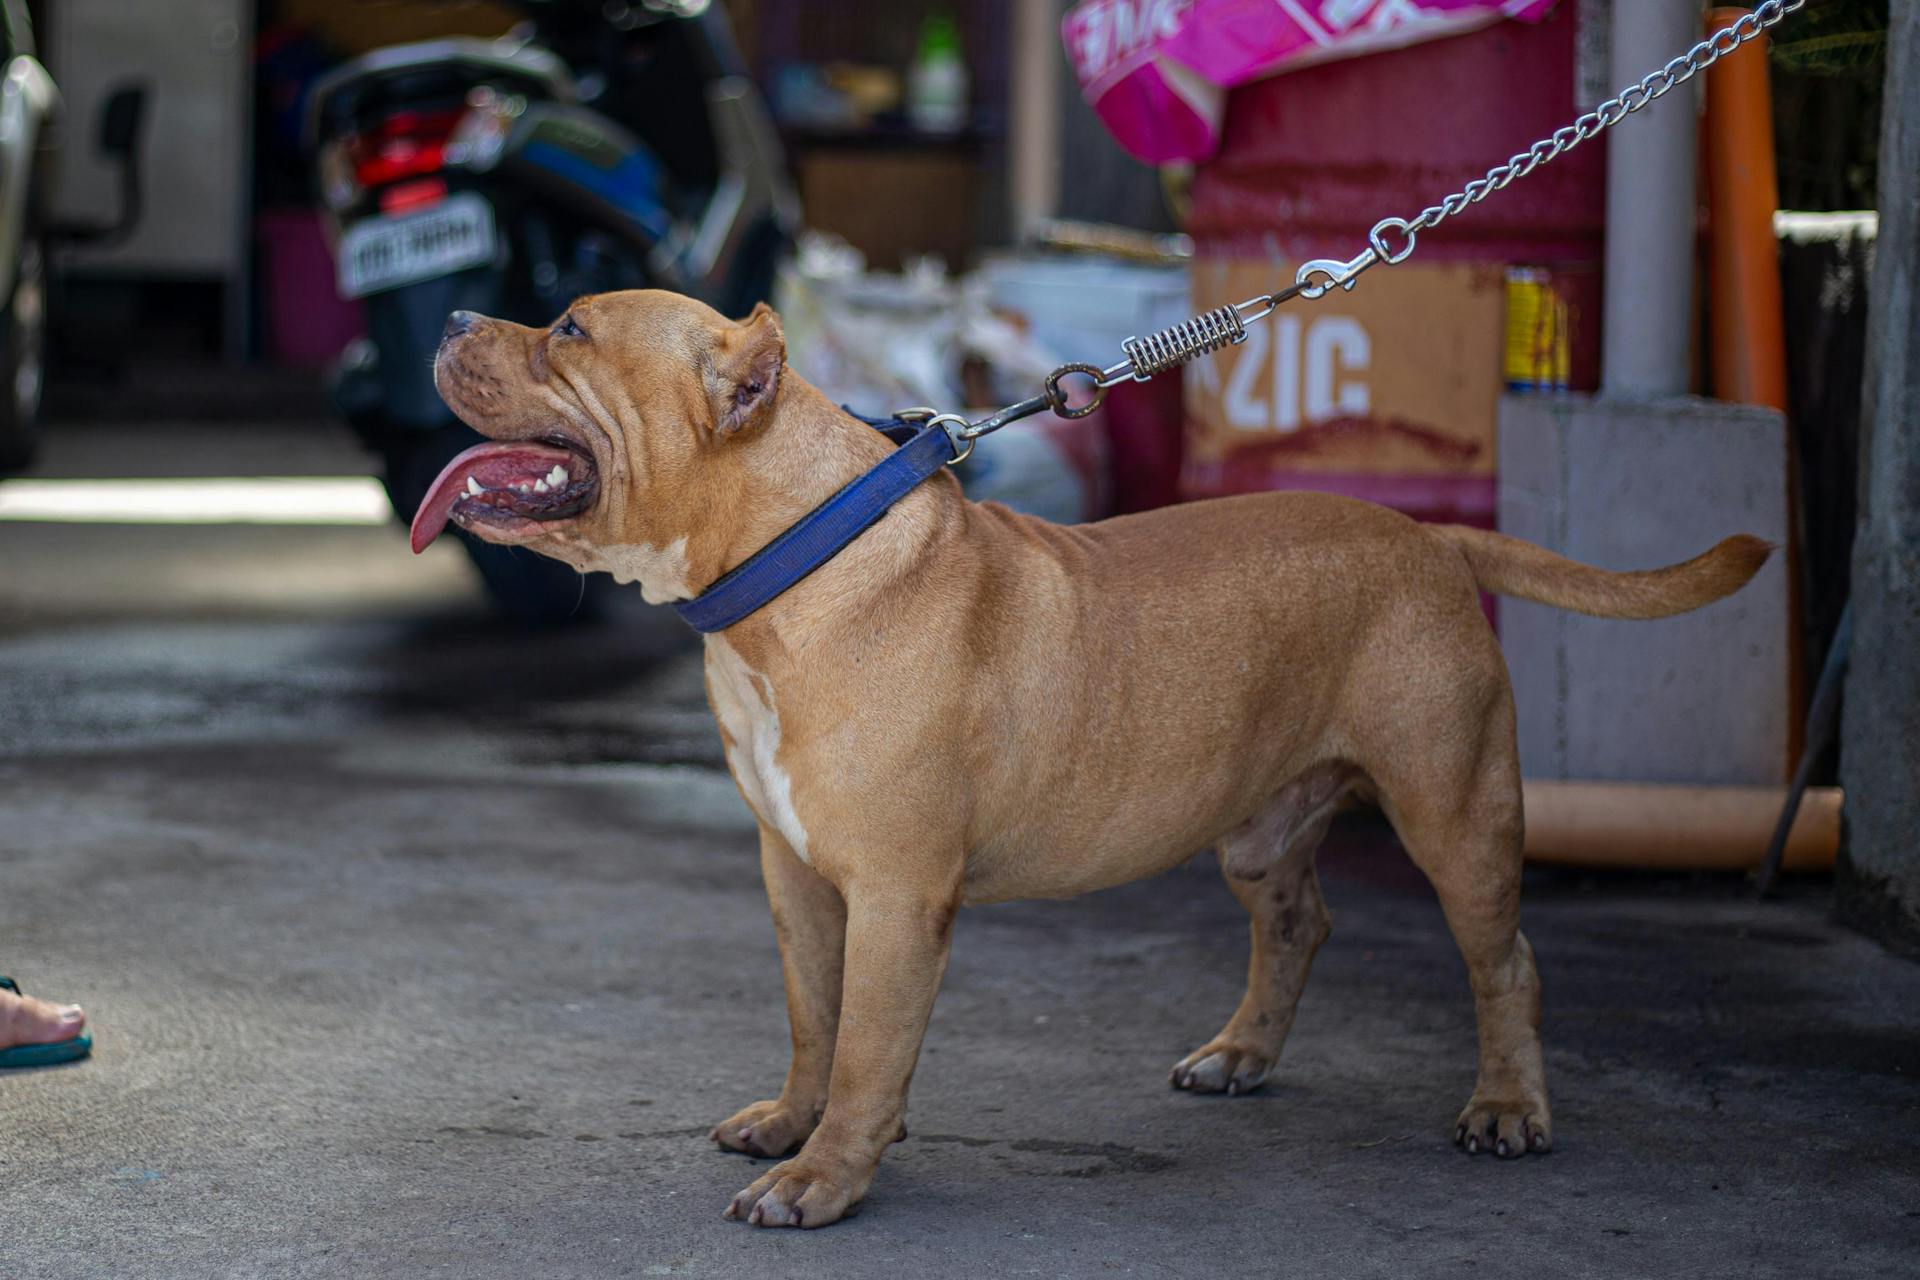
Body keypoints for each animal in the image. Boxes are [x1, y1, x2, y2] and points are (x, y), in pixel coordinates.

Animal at [416, 293, 1766, 1228]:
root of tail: (1432, 537)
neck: (792, 560)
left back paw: (1508, 1106)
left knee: (1508, 963)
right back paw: (1241, 1053)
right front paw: (792, 1122)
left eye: (571, 328)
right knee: (1300, 920)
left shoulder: (897, 893)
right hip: (1262, 826)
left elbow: (867, 1044)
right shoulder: (795, 874)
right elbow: (815, 1016)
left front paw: (826, 1175)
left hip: (1457, 814)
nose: (453, 315)